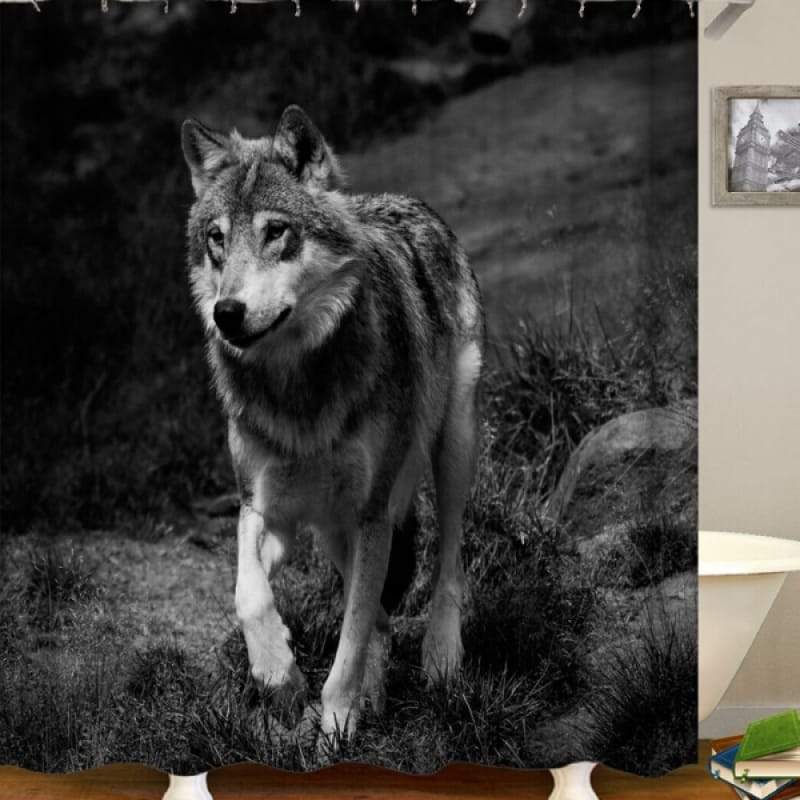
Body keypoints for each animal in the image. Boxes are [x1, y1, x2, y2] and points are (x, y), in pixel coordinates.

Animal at [181, 105, 484, 741]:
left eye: (276, 231)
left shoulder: (370, 514)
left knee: (447, 563)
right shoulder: (263, 508)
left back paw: (441, 657)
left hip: (453, 448)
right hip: (334, 526)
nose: (226, 313)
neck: (298, 389)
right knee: (382, 619)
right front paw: (278, 673)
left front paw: (337, 724)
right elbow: (249, 594)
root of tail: (399, 200)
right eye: (217, 239)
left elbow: (349, 641)